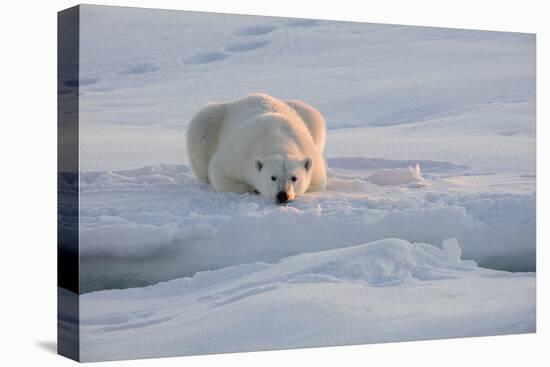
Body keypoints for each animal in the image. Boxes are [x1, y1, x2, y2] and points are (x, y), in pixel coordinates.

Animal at [188, 93, 330, 204]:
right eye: (273, 177)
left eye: (294, 177)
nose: (282, 195)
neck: (277, 139)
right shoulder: (240, 152)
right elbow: (219, 173)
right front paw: (253, 187)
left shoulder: (312, 159)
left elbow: (316, 184)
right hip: (211, 120)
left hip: (306, 113)